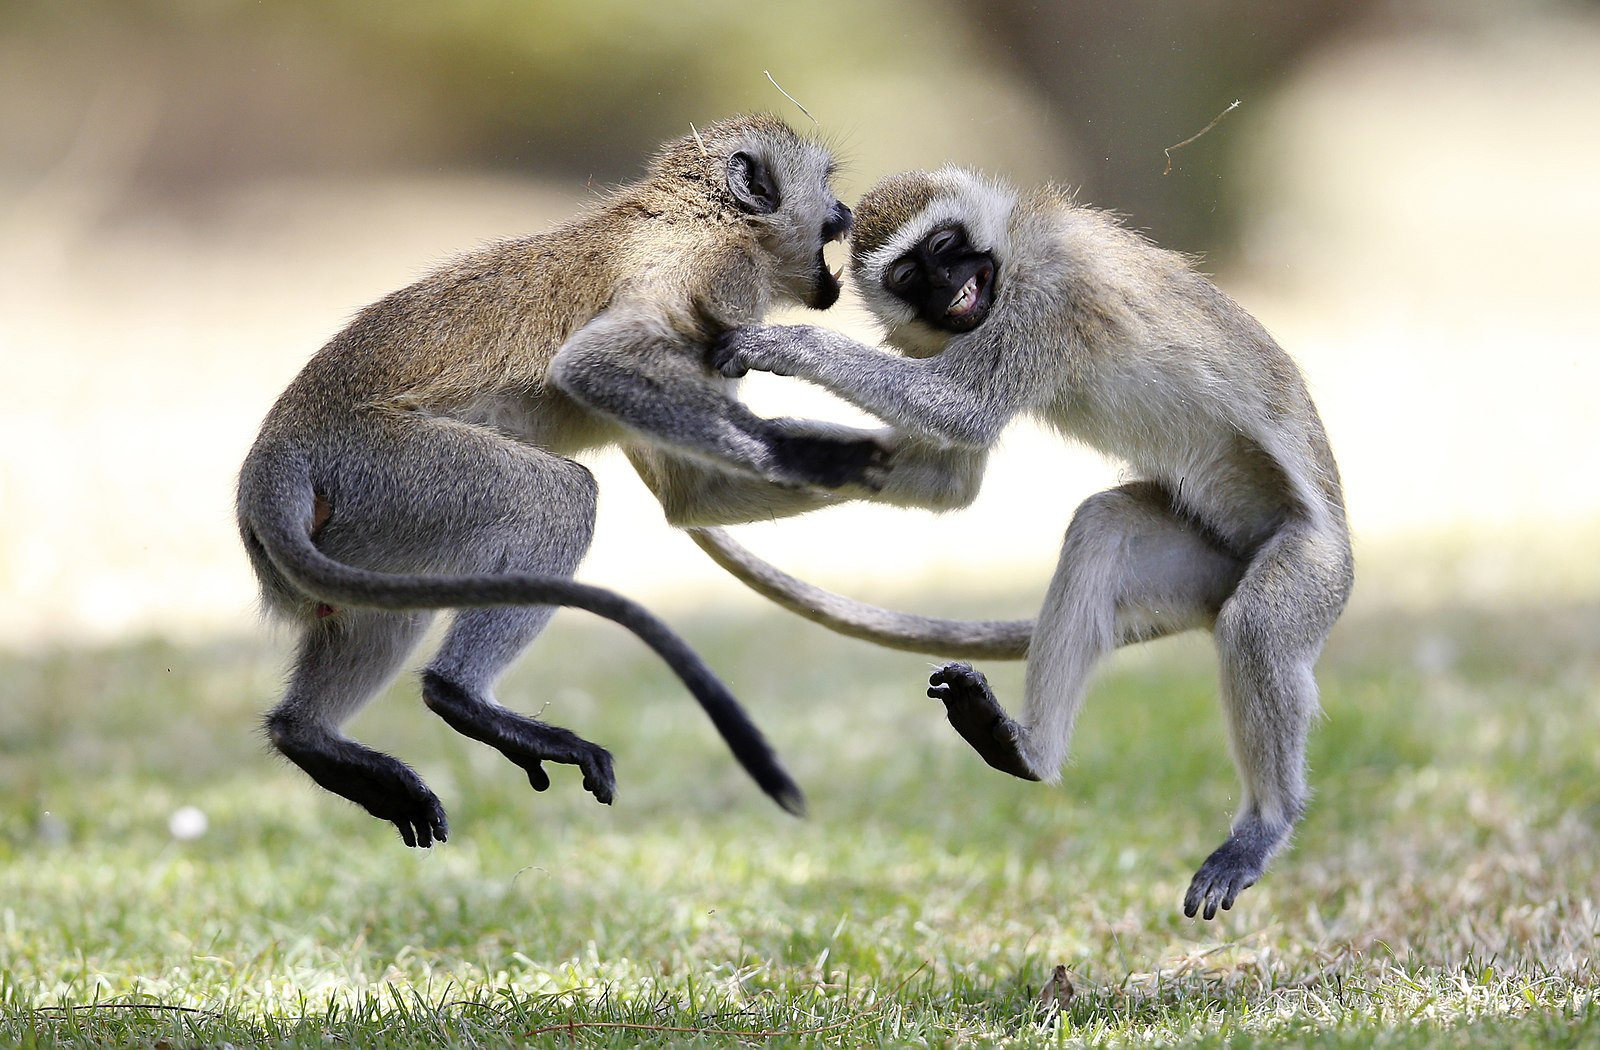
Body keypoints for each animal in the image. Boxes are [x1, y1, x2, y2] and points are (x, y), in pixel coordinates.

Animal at [235, 114, 911, 848]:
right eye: (826, 186)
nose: (844, 213)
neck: (699, 212)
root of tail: (279, 454)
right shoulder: (711, 271)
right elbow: (595, 366)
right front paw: (814, 457)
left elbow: (697, 493)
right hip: (390, 472)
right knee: (559, 496)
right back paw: (460, 695)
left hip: (362, 528)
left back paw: (310, 737)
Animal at [706, 166, 1354, 919]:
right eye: (909, 274)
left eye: (946, 245)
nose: (950, 283)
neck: (1009, 255)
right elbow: (948, 479)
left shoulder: (1045, 297)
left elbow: (964, 411)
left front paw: (779, 344)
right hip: (1205, 563)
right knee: (1103, 527)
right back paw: (1027, 749)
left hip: (1316, 568)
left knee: (1255, 627)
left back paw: (1263, 825)